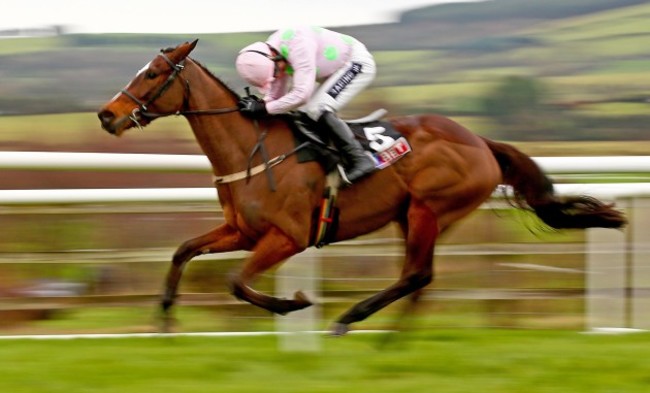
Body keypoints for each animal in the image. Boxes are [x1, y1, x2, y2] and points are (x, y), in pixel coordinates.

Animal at [95, 39, 624, 334]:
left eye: (154, 74)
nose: (106, 115)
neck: (253, 150)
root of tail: (479, 140)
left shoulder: (288, 237)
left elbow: (237, 282)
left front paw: (294, 303)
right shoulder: (242, 231)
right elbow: (183, 250)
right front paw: (164, 317)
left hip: (428, 210)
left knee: (416, 275)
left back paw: (350, 320)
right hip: (411, 216)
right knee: (420, 280)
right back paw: (392, 340)